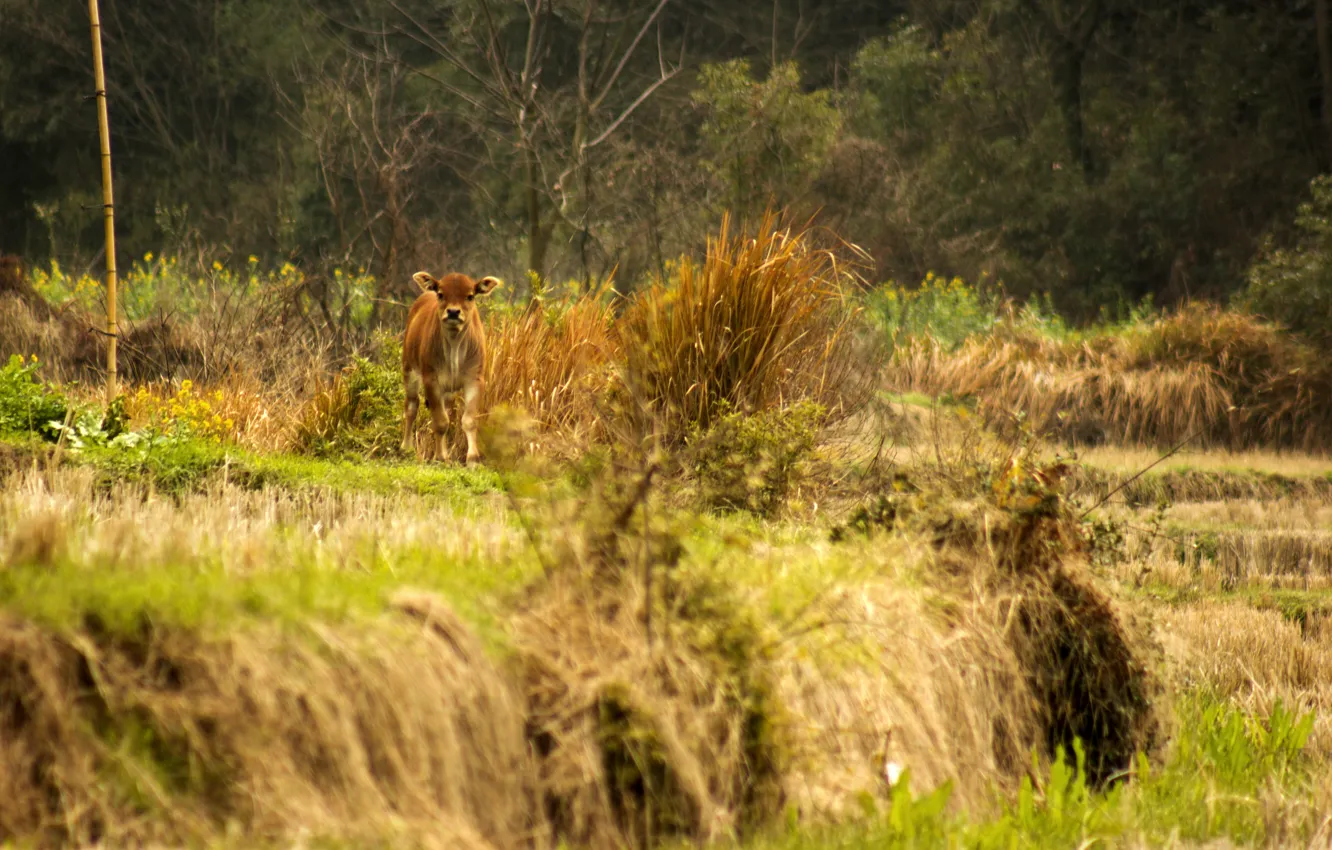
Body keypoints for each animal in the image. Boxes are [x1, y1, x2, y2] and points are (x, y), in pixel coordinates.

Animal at [401, 270, 502, 463]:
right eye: (441, 294)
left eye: (470, 296)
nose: (453, 312)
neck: (454, 348)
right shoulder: (431, 380)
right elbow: (440, 422)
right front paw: (441, 457)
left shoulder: (474, 379)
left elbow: (468, 420)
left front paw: (472, 458)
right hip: (409, 370)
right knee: (412, 406)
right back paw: (406, 447)